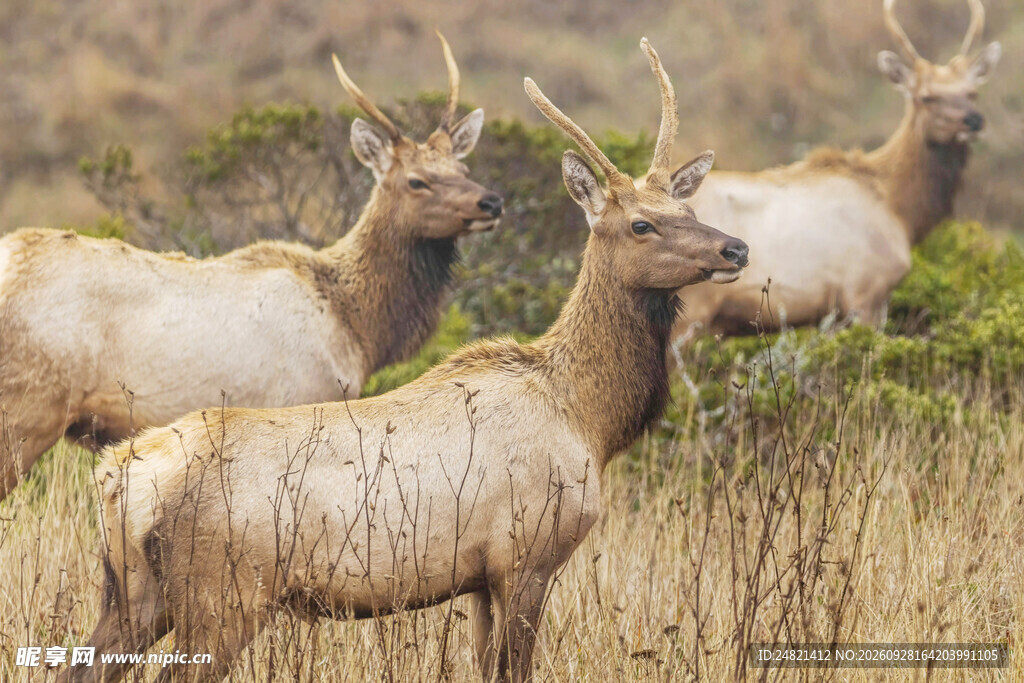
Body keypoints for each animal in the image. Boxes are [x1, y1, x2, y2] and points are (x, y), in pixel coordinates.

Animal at [0, 33, 503, 502]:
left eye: (462, 166)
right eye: (417, 181)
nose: (492, 201)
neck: (357, 327)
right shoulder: (304, 398)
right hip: (26, 410)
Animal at [57, 39, 747, 683]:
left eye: (687, 209)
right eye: (640, 225)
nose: (735, 248)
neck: (590, 420)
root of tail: (119, 476)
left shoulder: (478, 580)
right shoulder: (525, 556)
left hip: (134, 595)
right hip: (221, 594)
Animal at [674, 0, 1001, 339]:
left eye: (973, 92)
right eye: (926, 96)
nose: (974, 120)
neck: (901, 212)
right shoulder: (865, 289)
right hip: (693, 308)